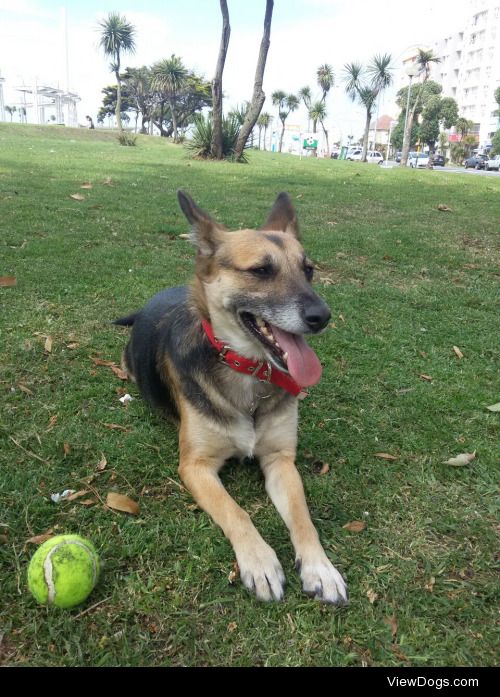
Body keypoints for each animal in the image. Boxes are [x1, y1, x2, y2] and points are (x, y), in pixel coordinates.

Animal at [114, 192, 348, 604]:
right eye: (261, 270)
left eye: (308, 270)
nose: (322, 316)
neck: (247, 371)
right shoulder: (196, 467)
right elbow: (236, 511)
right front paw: (259, 562)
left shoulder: (280, 460)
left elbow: (303, 517)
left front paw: (321, 567)